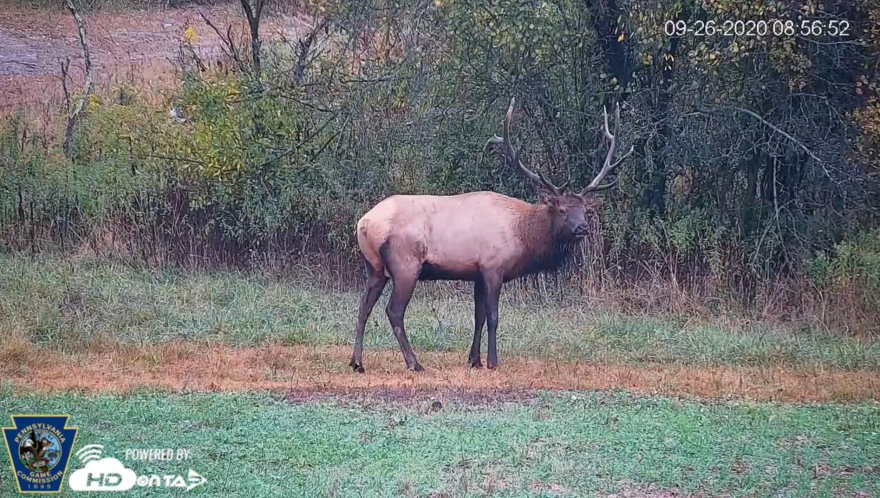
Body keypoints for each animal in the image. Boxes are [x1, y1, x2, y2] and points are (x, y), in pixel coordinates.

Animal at [349, 97, 633, 372]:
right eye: (562, 210)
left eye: (586, 211)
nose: (582, 228)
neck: (523, 235)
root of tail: (364, 224)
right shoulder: (494, 267)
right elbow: (494, 317)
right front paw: (493, 361)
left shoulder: (476, 273)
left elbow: (479, 317)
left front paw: (474, 360)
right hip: (405, 264)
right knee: (393, 311)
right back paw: (414, 363)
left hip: (374, 267)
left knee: (363, 307)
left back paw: (357, 362)